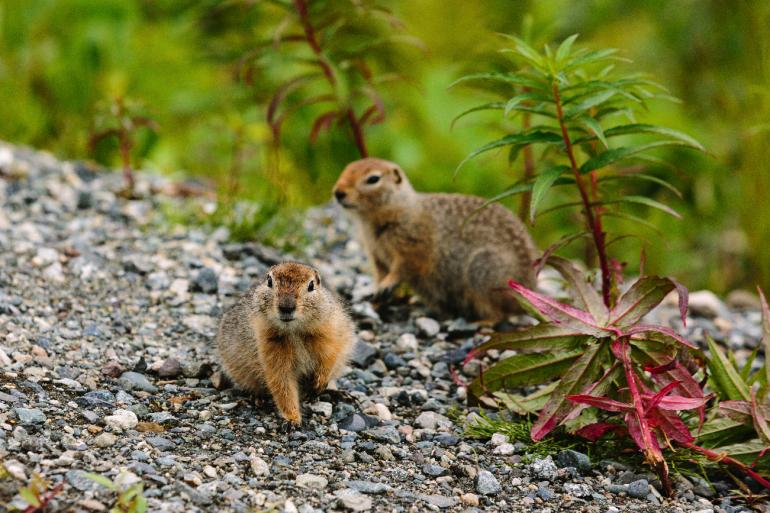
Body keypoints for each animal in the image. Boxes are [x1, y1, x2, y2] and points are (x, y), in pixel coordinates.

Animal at [216, 260, 354, 424]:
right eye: (269, 281)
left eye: (311, 285)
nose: (286, 307)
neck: (293, 331)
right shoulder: (269, 348)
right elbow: (282, 385)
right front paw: (292, 419)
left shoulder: (330, 333)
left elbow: (329, 358)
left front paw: (319, 383)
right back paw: (259, 399)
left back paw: (338, 394)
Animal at [332, 158, 536, 322]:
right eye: (346, 168)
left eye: (373, 179)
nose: (338, 192)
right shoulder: (376, 254)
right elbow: (380, 273)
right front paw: (376, 298)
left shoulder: (414, 243)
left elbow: (406, 265)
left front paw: (387, 285)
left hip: (482, 270)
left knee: (499, 314)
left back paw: (481, 323)